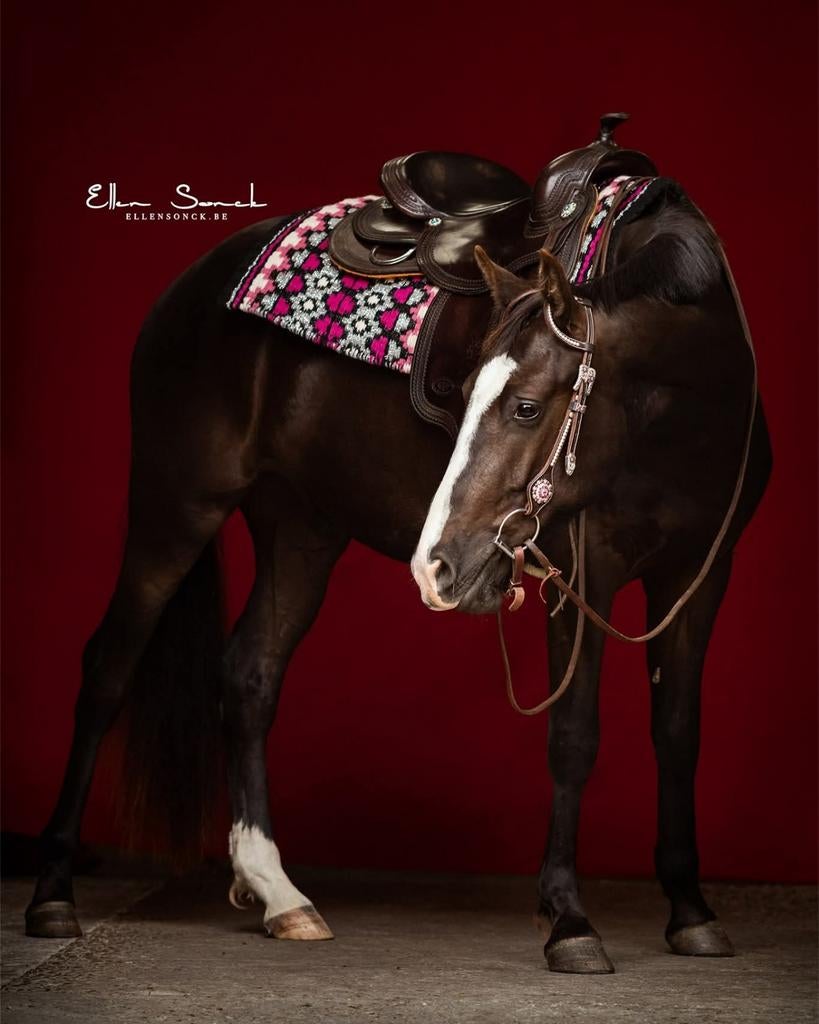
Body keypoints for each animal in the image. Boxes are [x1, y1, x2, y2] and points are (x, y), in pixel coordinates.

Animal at [25, 182, 771, 974]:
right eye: (466, 391)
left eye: (526, 406)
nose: (436, 562)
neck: (683, 421)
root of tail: (186, 287)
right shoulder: (581, 574)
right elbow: (573, 737)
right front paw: (569, 920)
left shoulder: (699, 576)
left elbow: (678, 735)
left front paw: (691, 911)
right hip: (176, 507)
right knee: (108, 669)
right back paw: (53, 892)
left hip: (302, 528)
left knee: (250, 675)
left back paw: (279, 893)